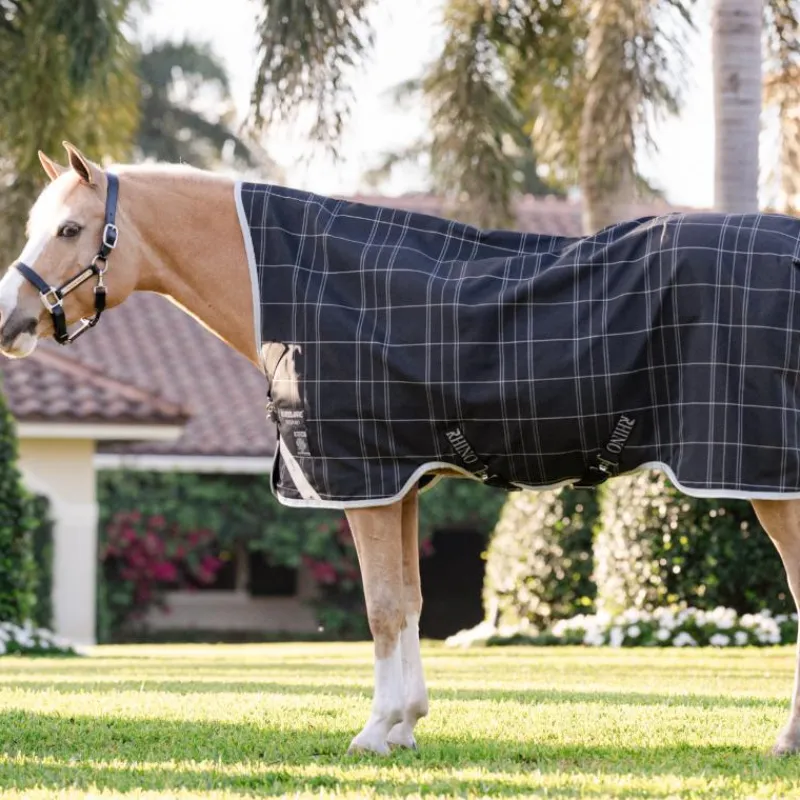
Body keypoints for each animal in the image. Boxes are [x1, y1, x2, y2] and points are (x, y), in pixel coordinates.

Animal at [3, 142, 800, 758]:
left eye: (70, 228)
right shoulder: (403, 483)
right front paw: (407, 726)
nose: (10, 320)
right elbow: (410, 602)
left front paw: (375, 730)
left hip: (773, 482)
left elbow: (382, 607)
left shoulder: (364, 482)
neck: (293, 282)